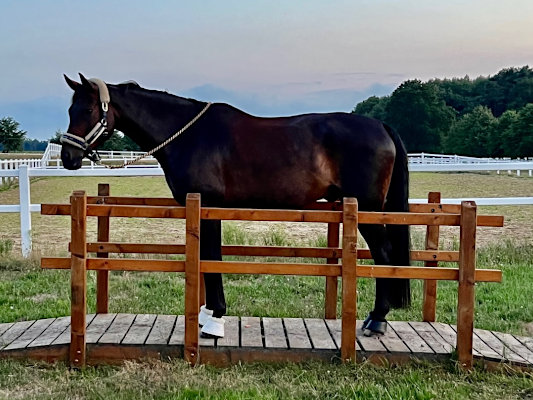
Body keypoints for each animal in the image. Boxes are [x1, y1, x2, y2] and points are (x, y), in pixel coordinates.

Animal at [61, 74, 412, 338]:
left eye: (88, 109)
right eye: (70, 110)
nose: (68, 157)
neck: (188, 135)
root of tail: (381, 126)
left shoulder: (208, 206)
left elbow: (211, 259)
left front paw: (214, 319)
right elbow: (206, 258)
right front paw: (208, 313)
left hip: (367, 210)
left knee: (383, 255)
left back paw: (377, 320)